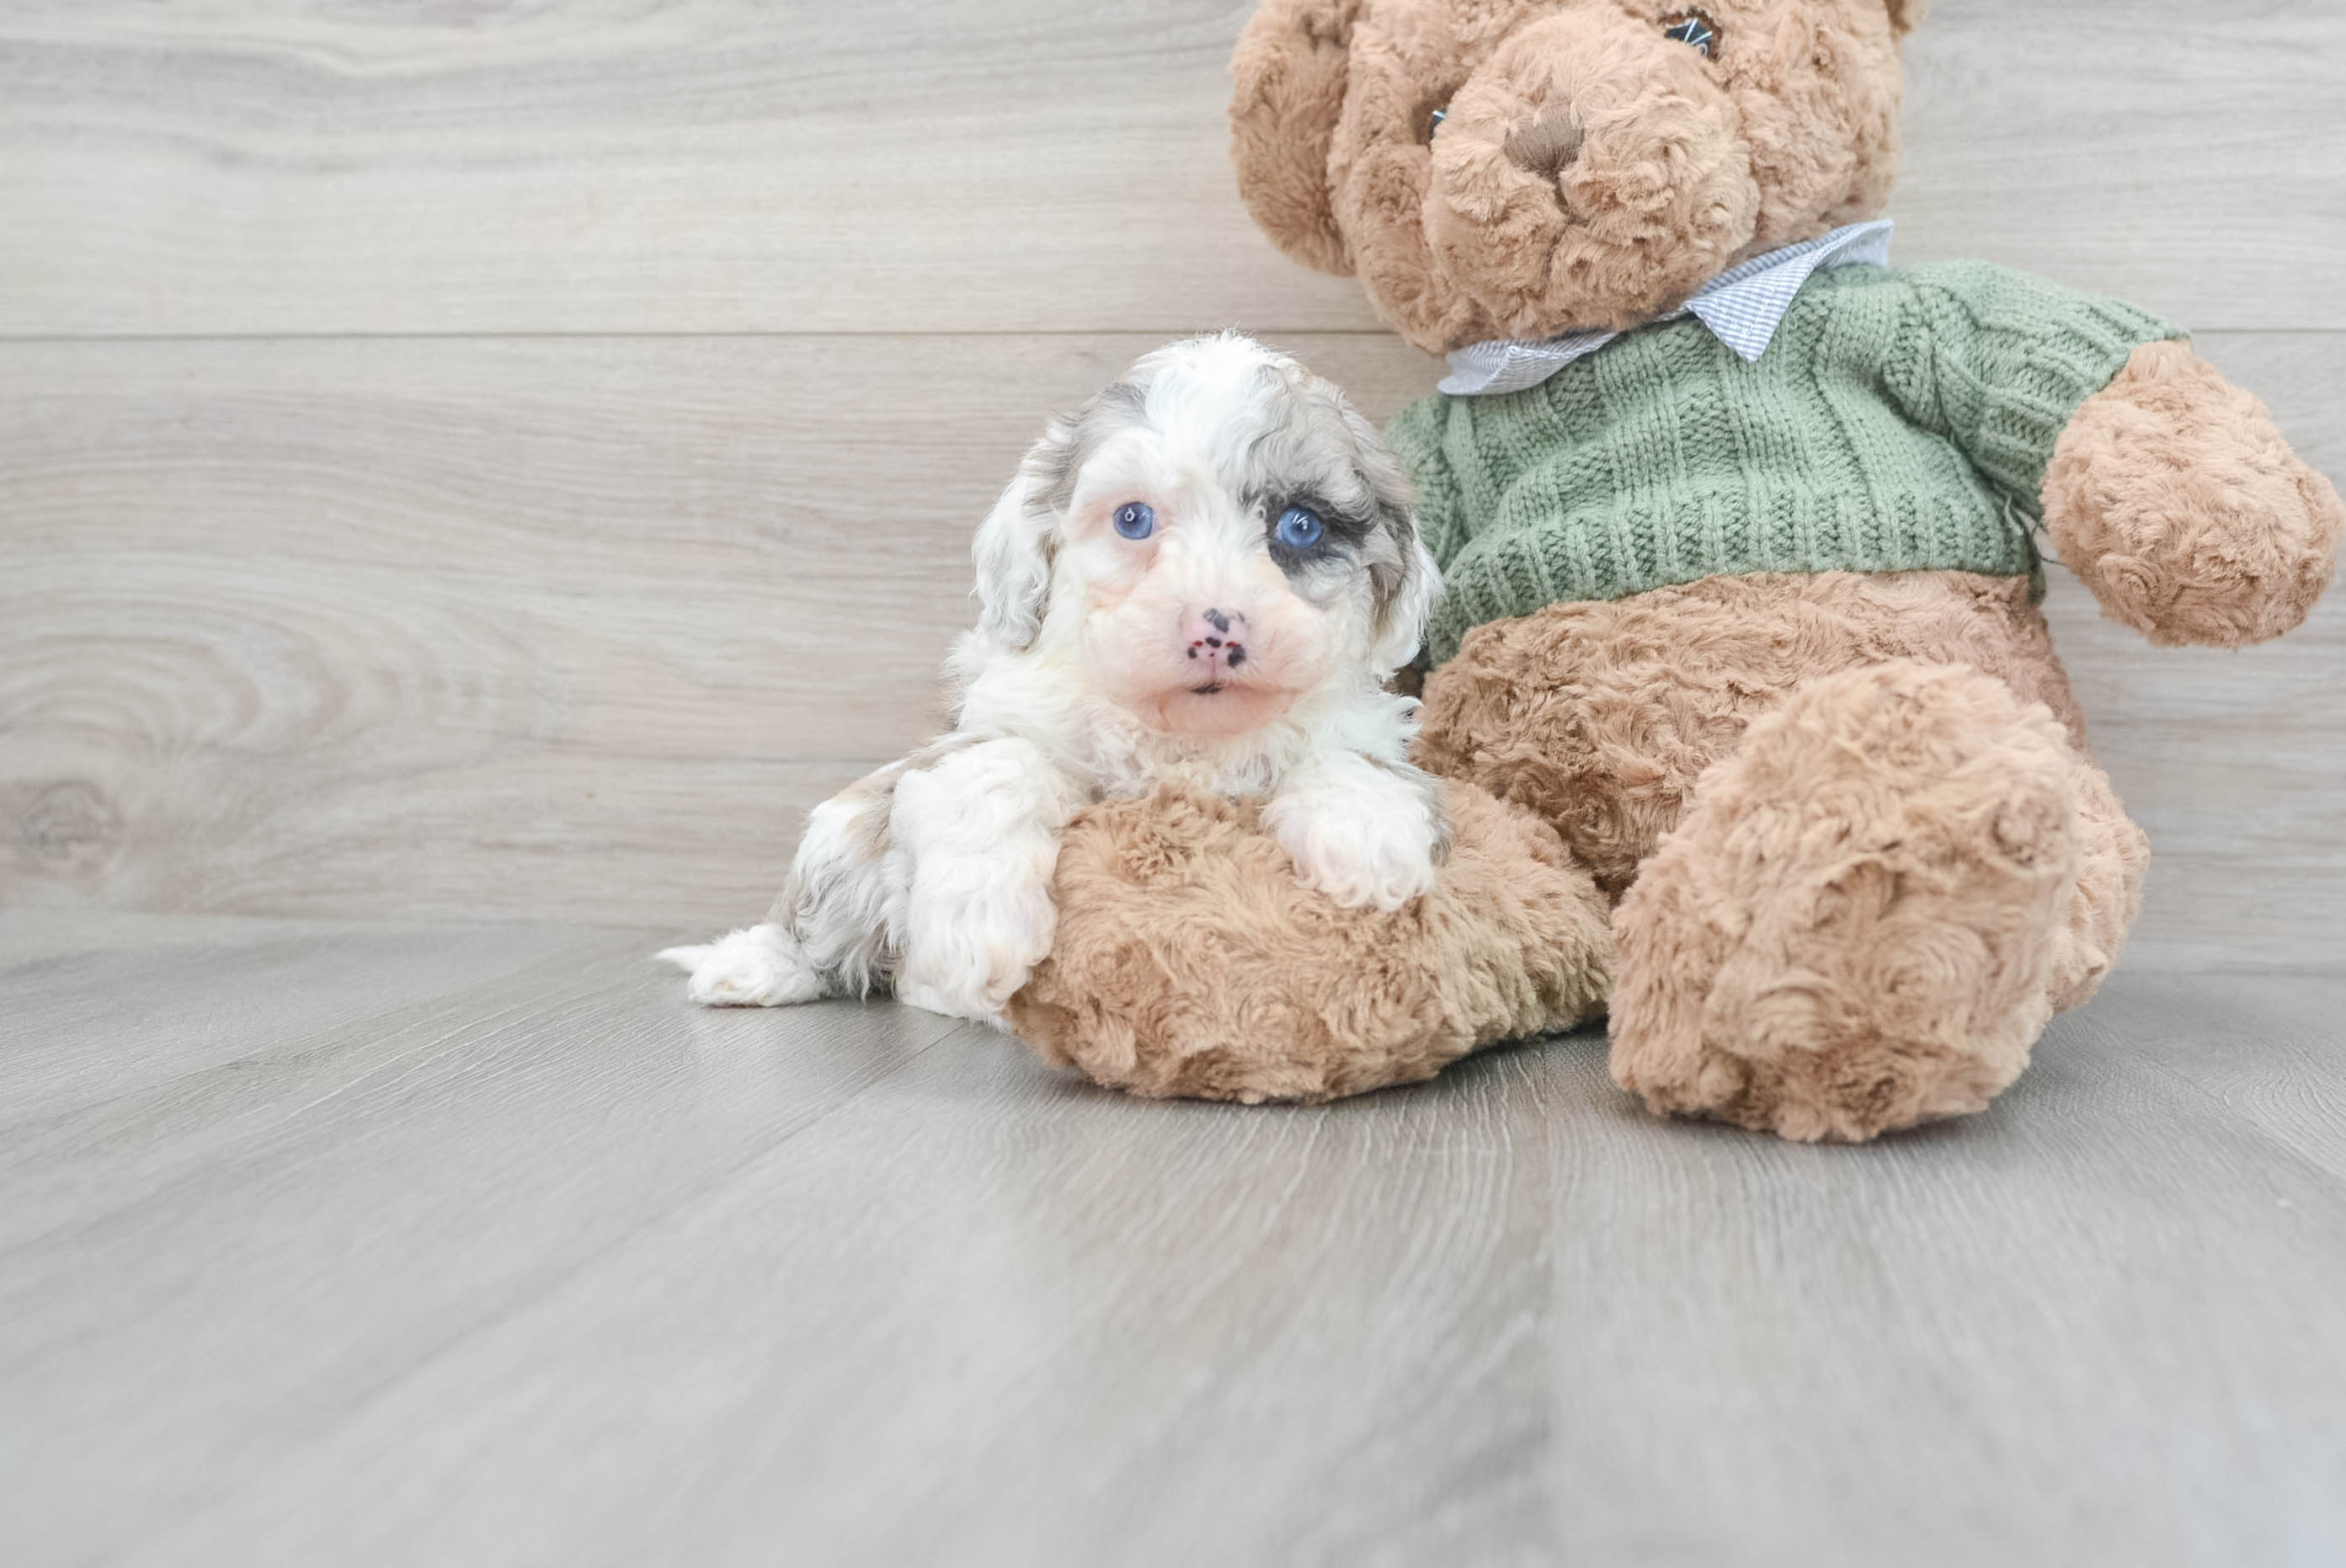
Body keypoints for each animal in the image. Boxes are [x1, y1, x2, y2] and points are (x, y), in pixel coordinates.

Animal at [661, 333, 1445, 1027]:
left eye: (1302, 527)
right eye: (1133, 519)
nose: (1216, 630)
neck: (1178, 736)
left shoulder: (1362, 723)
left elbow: (1351, 759)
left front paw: (1370, 845)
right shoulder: (975, 732)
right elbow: (999, 767)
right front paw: (977, 933)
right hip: (842, 840)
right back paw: (757, 967)